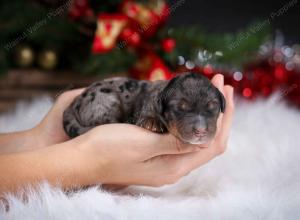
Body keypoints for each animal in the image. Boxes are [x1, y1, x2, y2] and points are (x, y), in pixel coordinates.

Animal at [62, 72, 225, 144]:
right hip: (106, 100)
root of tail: (74, 102)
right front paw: (152, 122)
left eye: (213, 106)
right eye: (180, 107)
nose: (201, 131)